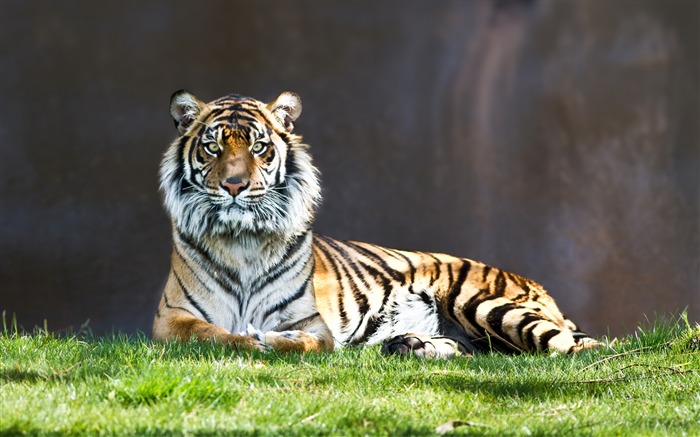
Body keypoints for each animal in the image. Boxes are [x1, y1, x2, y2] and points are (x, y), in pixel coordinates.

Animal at [152, 89, 596, 358]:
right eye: (212, 147)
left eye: (259, 147)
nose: (234, 185)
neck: (243, 241)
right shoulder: (170, 320)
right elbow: (213, 335)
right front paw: (249, 340)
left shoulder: (314, 324)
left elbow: (302, 343)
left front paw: (270, 339)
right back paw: (412, 345)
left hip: (487, 303)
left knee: (572, 349)